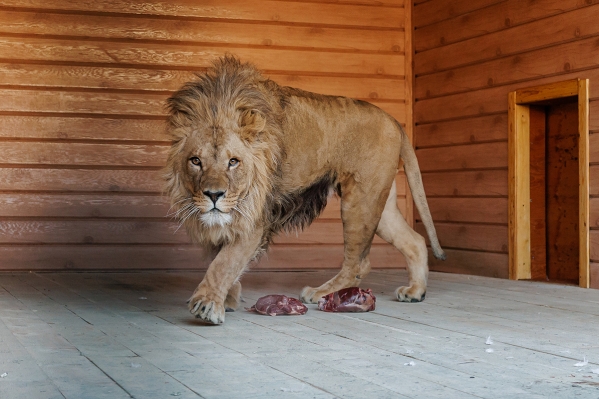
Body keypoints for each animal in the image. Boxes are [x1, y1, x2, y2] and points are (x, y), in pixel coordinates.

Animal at [164, 55, 446, 324]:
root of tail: (394, 120)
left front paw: (207, 304)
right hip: (380, 200)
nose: (214, 195)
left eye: (233, 161)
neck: (218, 106)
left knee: (359, 263)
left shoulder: (256, 216)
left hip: (360, 200)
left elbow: (224, 262)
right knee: (415, 240)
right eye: (195, 161)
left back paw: (321, 292)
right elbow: (220, 257)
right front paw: (229, 298)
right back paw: (415, 292)